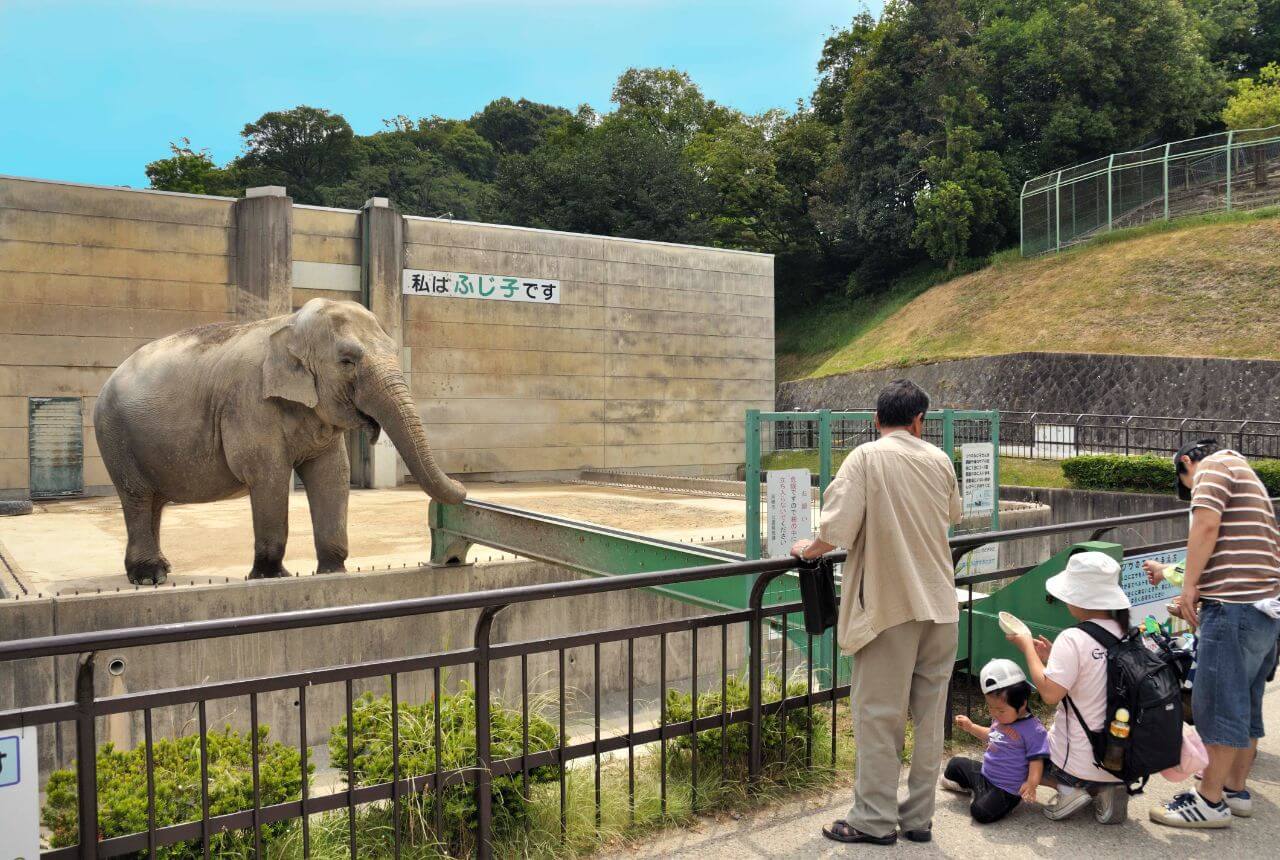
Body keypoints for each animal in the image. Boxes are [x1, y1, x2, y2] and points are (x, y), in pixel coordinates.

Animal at [94, 296, 468, 583]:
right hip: (115, 436)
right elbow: (268, 475)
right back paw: (148, 577)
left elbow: (332, 474)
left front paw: (333, 573)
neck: (289, 326)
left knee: (153, 502)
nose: (463, 486)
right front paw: (271, 577)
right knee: (138, 498)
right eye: (347, 361)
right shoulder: (249, 403)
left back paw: (162, 569)